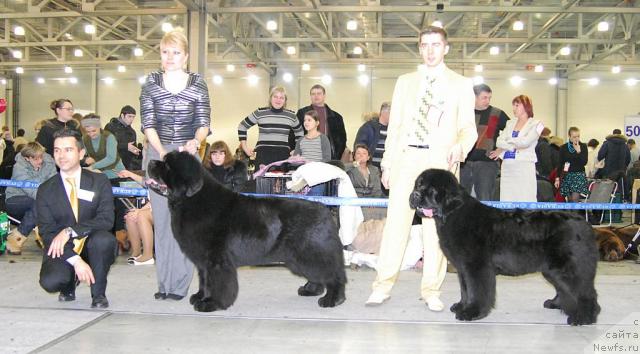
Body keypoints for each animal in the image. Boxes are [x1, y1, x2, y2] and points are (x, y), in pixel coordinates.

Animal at [146, 151, 344, 312]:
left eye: (168, 166)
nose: (150, 162)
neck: (191, 201)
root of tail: (325, 209)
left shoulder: (216, 259)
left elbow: (216, 281)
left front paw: (211, 303)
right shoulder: (202, 260)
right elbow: (204, 279)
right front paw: (199, 296)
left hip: (312, 251)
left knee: (333, 273)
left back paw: (333, 299)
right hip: (300, 257)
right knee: (318, 273)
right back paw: (311, 289)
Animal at [410, 169, 600, 326]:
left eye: (432, 189)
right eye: (418, 184)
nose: (414, 195)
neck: (452, 214)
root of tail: (585, 224)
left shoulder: (476, 267)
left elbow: (476, 290)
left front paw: (472, 312)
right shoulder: (463, 268)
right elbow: (465, 290)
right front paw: (461, 306)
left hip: (568, 267)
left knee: (583, 291)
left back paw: (583, 317)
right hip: (552, 269)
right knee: (565, 289)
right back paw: (556, 304)